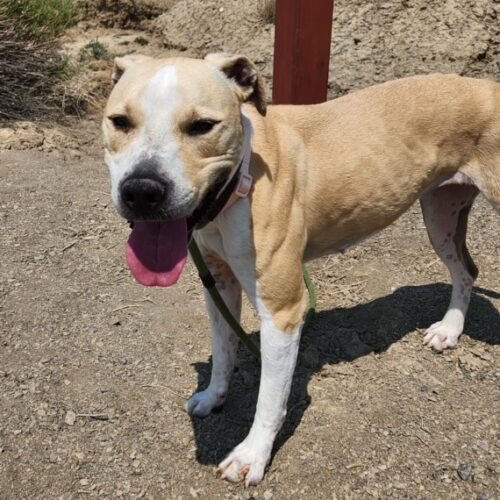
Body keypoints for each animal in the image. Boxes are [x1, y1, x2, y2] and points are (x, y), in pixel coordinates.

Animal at [102, 53, 500, 484]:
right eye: (120, 121)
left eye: (202, 126)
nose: (142, 191)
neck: (240, 182)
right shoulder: (219, 283)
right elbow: (223, 350)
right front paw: (214, 396)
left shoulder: (282, 312)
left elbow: (269, 399)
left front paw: (251, 455)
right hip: (441, 214)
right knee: (466, 271)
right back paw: (449, 330)